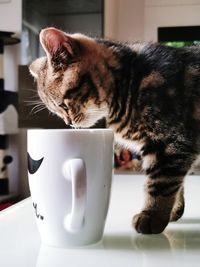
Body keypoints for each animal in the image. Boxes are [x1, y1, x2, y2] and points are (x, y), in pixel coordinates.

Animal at [28, 27, 200, 234]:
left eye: (63, 105)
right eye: (56, 112)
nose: (68, 123)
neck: (129, 84)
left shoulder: (170, 143)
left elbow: (160, 183)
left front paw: (152, 215)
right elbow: (177, 184)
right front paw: (173, 210)